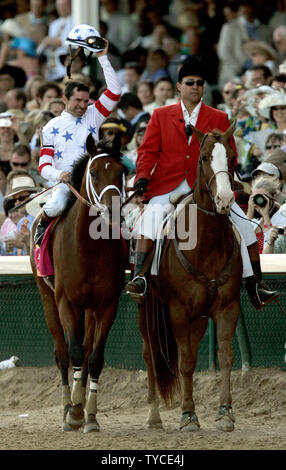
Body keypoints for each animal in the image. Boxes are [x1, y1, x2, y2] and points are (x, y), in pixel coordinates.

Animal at [29, 134, 127, 432]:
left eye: (121, 171)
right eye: (93, 173)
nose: (112, 211)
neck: (89, 248)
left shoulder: (107, 305)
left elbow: (94, 358)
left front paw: (89, 414)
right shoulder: (65, 301)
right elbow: (72, 352)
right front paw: (72, 413)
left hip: (89, 310)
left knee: (85, 351)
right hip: (47, 299)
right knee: (62, 354)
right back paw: (66, 408)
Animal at [139, 122, 244, 434]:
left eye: (231, 157)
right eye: (204, 158)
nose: (225, 199)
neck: (206, 241)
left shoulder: (227, 307)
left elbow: (225, 357)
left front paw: (225, 412)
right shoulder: (178, 310)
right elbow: (185, 362)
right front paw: (187, 415)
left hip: (198, 317)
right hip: (146, 309)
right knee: (150, 354)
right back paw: (154, 416)